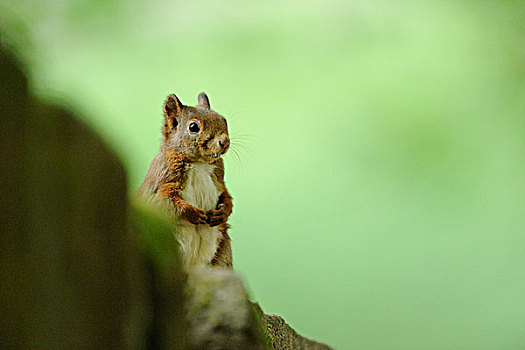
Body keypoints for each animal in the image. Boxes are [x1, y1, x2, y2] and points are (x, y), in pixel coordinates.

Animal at [138, 91, 232, 270]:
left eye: (223, 119)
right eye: (193, 127)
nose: (224, 142)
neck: (198, 164)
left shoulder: (220, 182)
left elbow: (227, 198)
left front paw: (222, 212)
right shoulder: (161, 182)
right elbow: (167, 202)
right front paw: (193, 213)